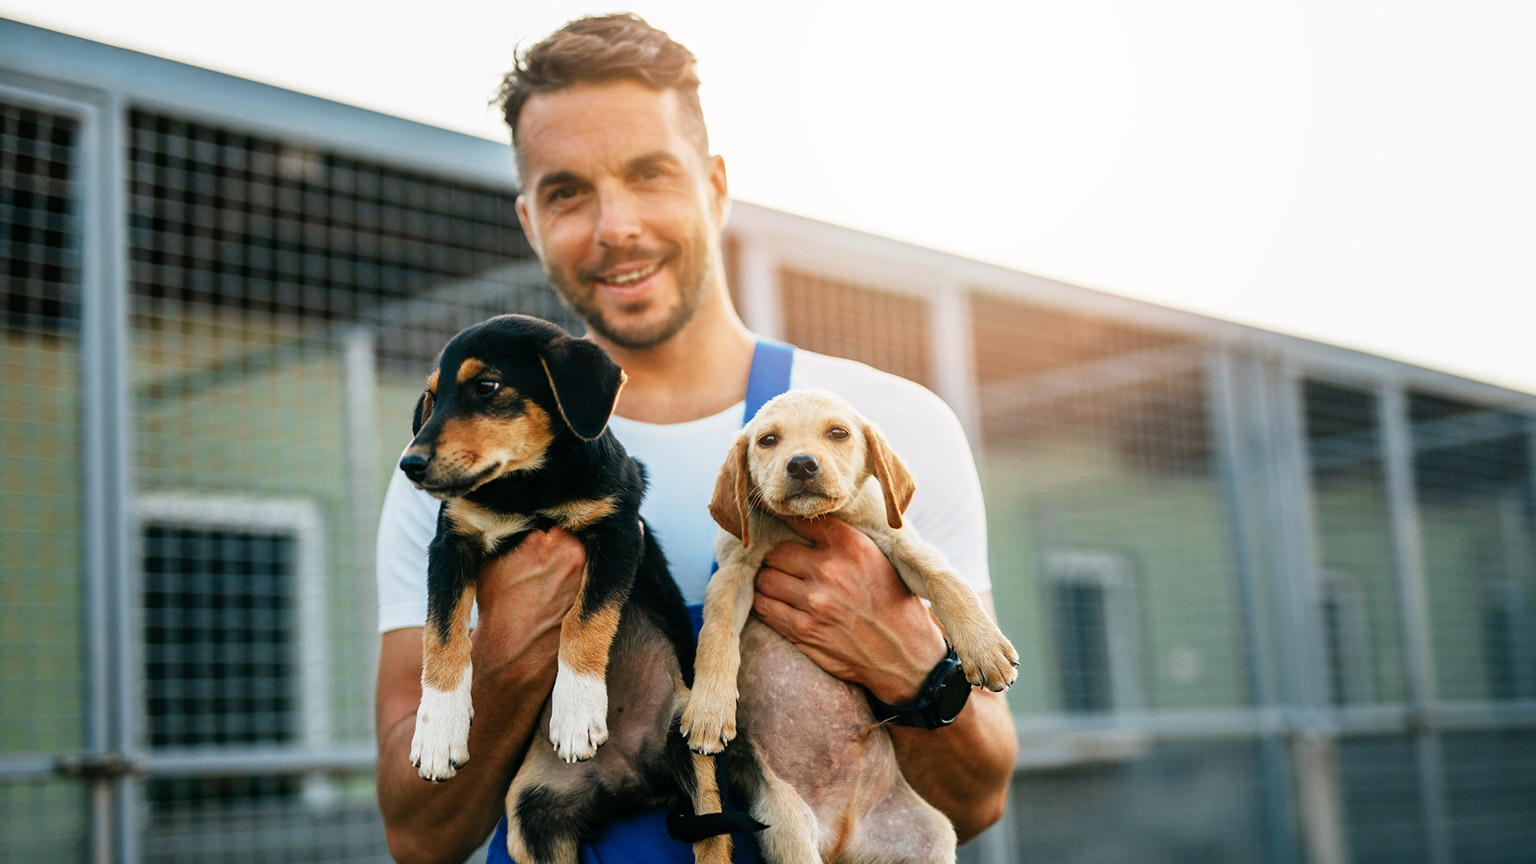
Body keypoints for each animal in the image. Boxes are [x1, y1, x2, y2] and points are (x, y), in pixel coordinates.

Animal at [402, 312, 737, 854]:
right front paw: (437, 733)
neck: (525, 491)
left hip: (699, 763)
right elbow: (442, 636)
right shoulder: (451, 545)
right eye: (433, 397)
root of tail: (636, 782)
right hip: (533, 815)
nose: (409, 465)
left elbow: (585, 621)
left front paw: (577, 711)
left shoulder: (617, 531)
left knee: (715, 841)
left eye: (487, 386)